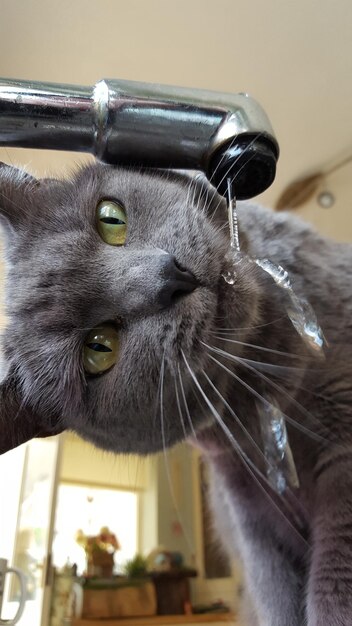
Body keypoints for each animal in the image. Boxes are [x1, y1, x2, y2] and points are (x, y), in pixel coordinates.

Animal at [0, 162, 350, 624]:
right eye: (98, 349)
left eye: (110, 218)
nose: (170, 278)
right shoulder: (247, 502)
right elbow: (280, 589)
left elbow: (334, 574)